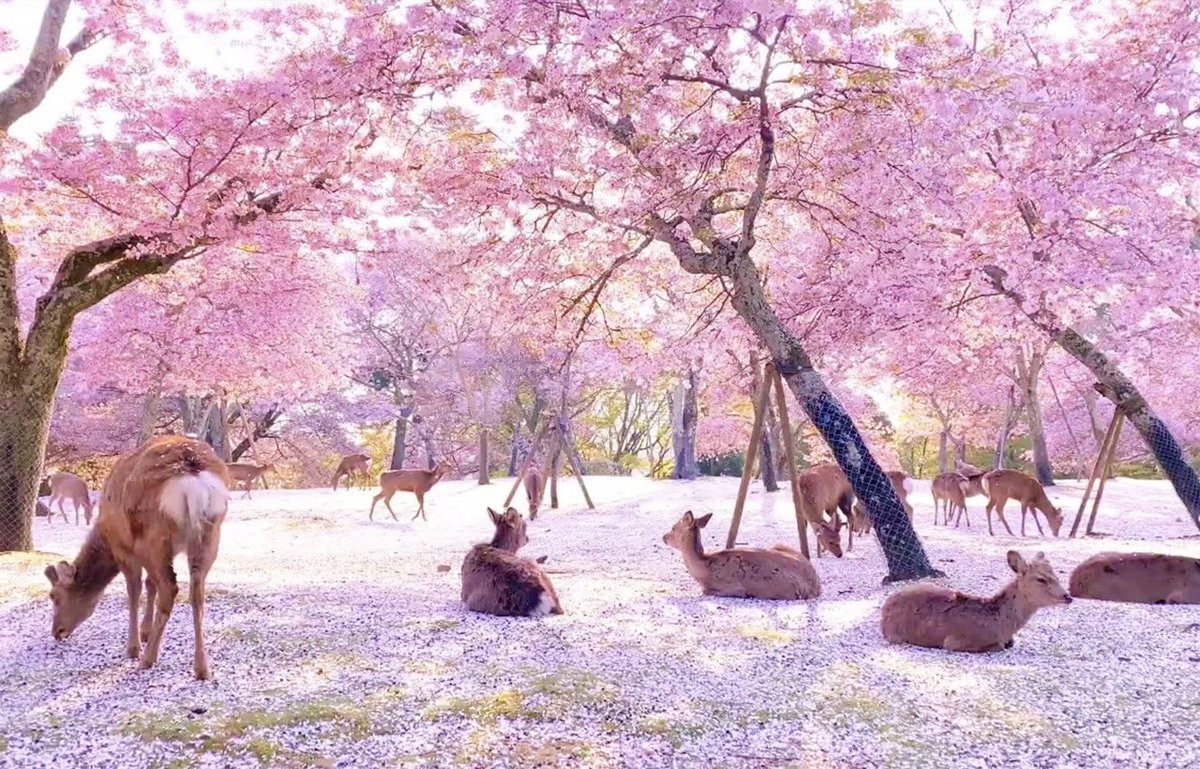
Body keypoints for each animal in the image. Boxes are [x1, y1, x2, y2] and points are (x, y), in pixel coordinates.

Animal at [43, 435, 230, 679]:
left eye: (54, 596)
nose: (57, 631)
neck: (104, 536)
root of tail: (193, 475)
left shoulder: (124, 549)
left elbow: (134, 591)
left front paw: (133, 646)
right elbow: (150, 585)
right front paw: (145, 631)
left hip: (152, 537)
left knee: (170, 588)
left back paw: (147, 658)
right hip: (209, 534)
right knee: (196, 592)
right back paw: (202, 668)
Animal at [662, 511, 821, 600]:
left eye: (673, 527)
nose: (664, 537)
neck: (705, 570)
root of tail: (816, 587)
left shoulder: (732, 587)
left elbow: (706, 591)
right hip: (780, 545)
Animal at [880, 550, 1072, 652]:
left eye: (1056, 574)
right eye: (1041, 579)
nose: (1067, 596)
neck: (1000, 626)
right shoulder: (954, 641)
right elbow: (999, 646)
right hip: (896, 635)